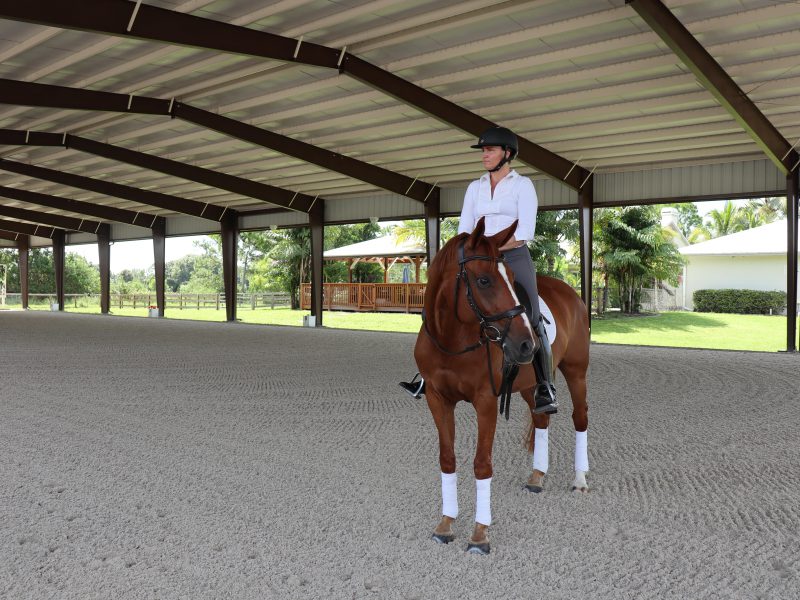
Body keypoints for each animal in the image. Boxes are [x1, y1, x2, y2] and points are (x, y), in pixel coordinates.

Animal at [416, 218, 592, 556]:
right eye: (483, 281)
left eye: (510, 278)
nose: (527, 345)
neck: (452, 340)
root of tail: (569, 291)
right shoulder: (437, 399)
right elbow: (447, 458)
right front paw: (445, 524)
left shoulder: (485, 401)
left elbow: (482, 465)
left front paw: (479, 534)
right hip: (529, 384)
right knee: (541, 417)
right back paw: (537, 477)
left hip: (576, 371)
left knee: (580, 418)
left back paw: (580, 481)